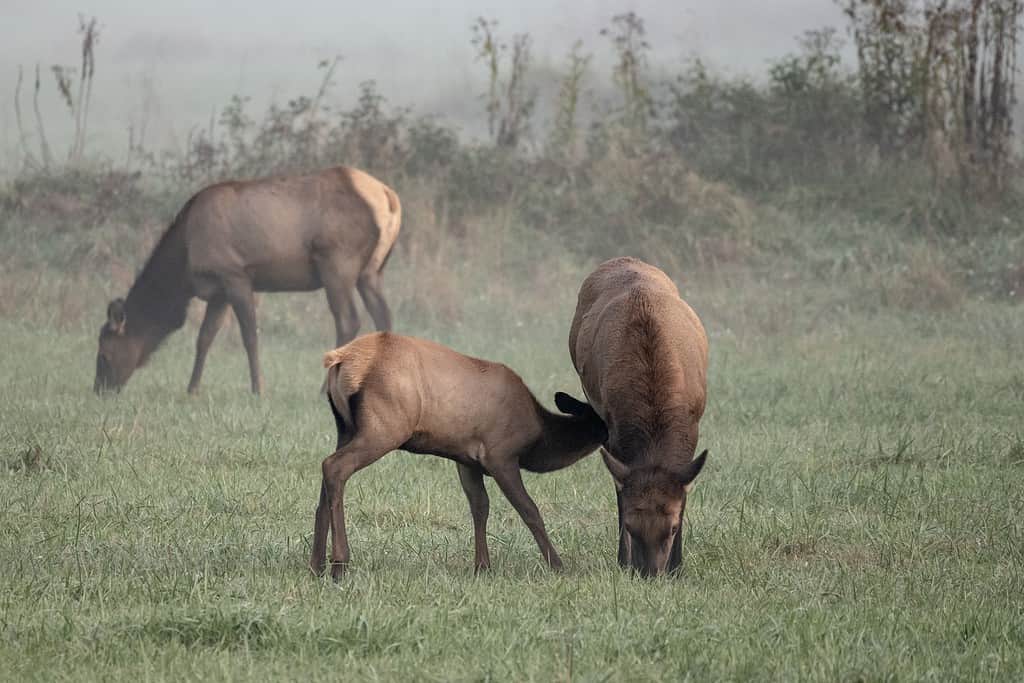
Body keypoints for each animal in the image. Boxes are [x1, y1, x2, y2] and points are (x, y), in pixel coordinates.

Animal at [93, 165, 399, 397]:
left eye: (104, 353)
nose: (100, 390)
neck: (185, 264)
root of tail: (388, 199)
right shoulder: (218, 291)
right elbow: (204, 338)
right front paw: (192, 389)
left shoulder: (235, 275)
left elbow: (250, 336)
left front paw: (258, 389)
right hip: (371, 270)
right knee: (383, 315)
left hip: (337, 262)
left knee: (348, 320)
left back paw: (324, 388)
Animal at [305, 333, 606, 581]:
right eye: (603, 419)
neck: (537, 437)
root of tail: (341, 359)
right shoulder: (501, 454)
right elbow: (528, 509)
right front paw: (557, 565)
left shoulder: (467, 460)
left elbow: (480, 507)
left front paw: (482, 567)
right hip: (385, 426)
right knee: (334, 466)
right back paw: (339, 564)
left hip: (345, 428)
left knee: (326, 478)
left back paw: (316, 565)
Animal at [565, 255, 708, 577]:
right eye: (631, 527)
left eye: (672, 528)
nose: (650, 574)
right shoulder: (614, 429)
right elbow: (620, 494)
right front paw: (623, 561)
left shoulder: (693, 426)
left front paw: (677, 567)